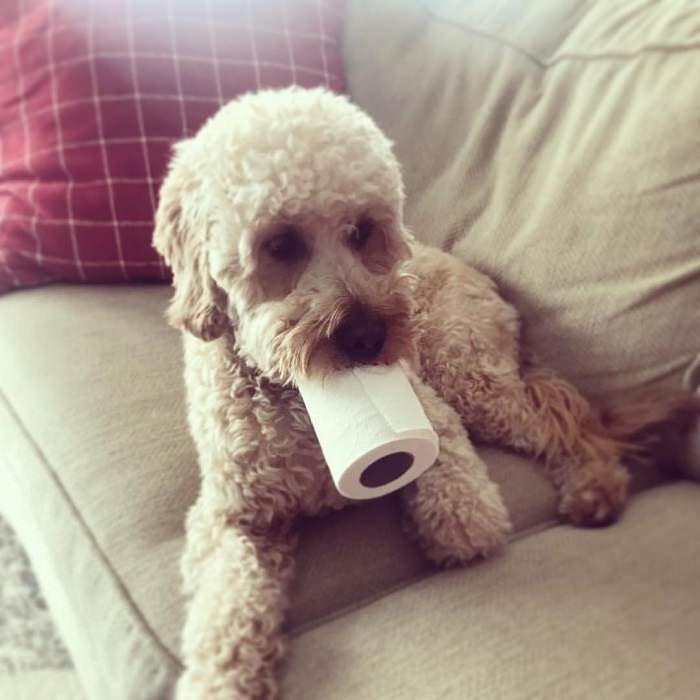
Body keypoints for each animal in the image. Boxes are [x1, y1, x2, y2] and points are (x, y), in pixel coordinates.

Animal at [152, 85, 696, 696]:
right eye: (280, 243)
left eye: (363, 230)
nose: (367, 336)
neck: (305, 400)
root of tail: (479, 275)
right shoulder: (230, 514)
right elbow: (226, 605)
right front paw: (222, 677)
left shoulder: (433, 415)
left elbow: (463, 517)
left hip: (467, 374)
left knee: (564, 425)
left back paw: (594, 485)